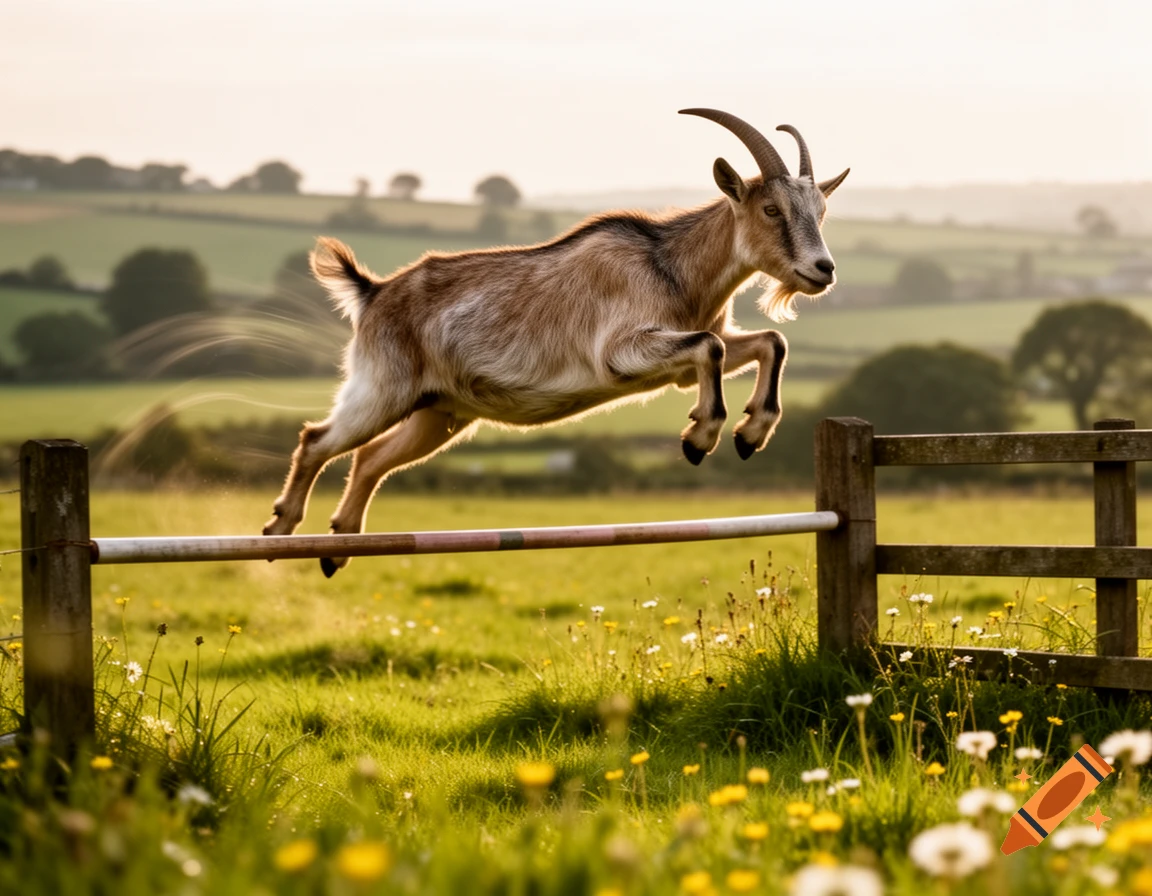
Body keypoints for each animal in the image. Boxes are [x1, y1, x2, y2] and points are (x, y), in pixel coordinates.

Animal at [263, 108, 849, 576]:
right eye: (771, 210)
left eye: (821, 212)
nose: (823, 270)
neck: (673, 270)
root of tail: (374, 292)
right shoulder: (622, 352)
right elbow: (712, 346)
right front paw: (699, 438)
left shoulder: (683, 361)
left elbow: (769, 342)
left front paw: (750, 434)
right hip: (384, 387)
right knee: (317, 439)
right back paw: (279, 533)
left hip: (439, 412)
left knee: (370, 458)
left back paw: (337, 549)